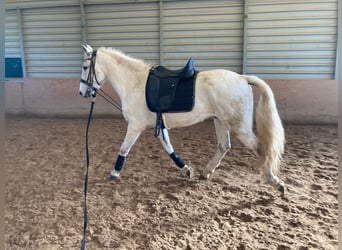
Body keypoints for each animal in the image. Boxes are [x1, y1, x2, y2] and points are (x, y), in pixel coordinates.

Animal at [79, 44, 284, 194]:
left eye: (85, 67)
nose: (82, 93)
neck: (134, 83)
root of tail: (242, 78)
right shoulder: (160, 125)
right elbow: (169, 147)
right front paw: (186, 170)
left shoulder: (135, 126)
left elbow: (124, 149)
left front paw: (114, 173)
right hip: (220, 120)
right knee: (223, 146)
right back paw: (206, 172)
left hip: (239, 126)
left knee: (260, 148)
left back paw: (274, 181)